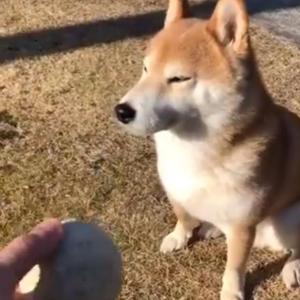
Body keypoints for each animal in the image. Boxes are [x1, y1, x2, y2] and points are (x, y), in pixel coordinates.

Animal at [113, 0, 300, 298]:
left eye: (178, 78)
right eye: (145, 69)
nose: (122, 111)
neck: (192, 150)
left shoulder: (242, 226)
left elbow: (234, 267)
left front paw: (231, 292)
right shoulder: (176, 188)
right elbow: (182, 215)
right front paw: (179, 236)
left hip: (289, 219)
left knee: (297, 248)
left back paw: (292, 267)